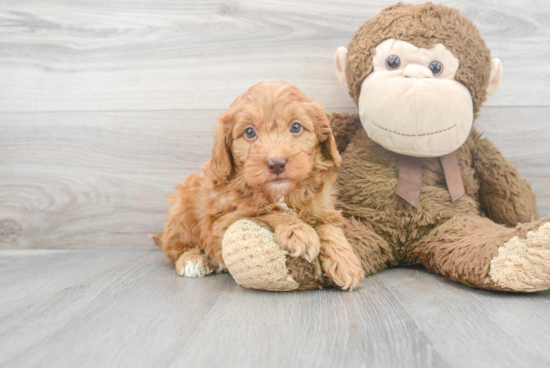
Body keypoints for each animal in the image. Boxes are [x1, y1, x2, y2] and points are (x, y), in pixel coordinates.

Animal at [155, 81, 366, 290]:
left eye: (296, 127)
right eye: (249, 132)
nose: (277, 163)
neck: (281, 193)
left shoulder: (323, 207)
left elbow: (329, 227)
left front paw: (345, 262)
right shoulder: (224, 221)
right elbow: (265, 211)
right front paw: (298, 231)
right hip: (180, 211)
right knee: (174, 247)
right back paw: (193, 260)